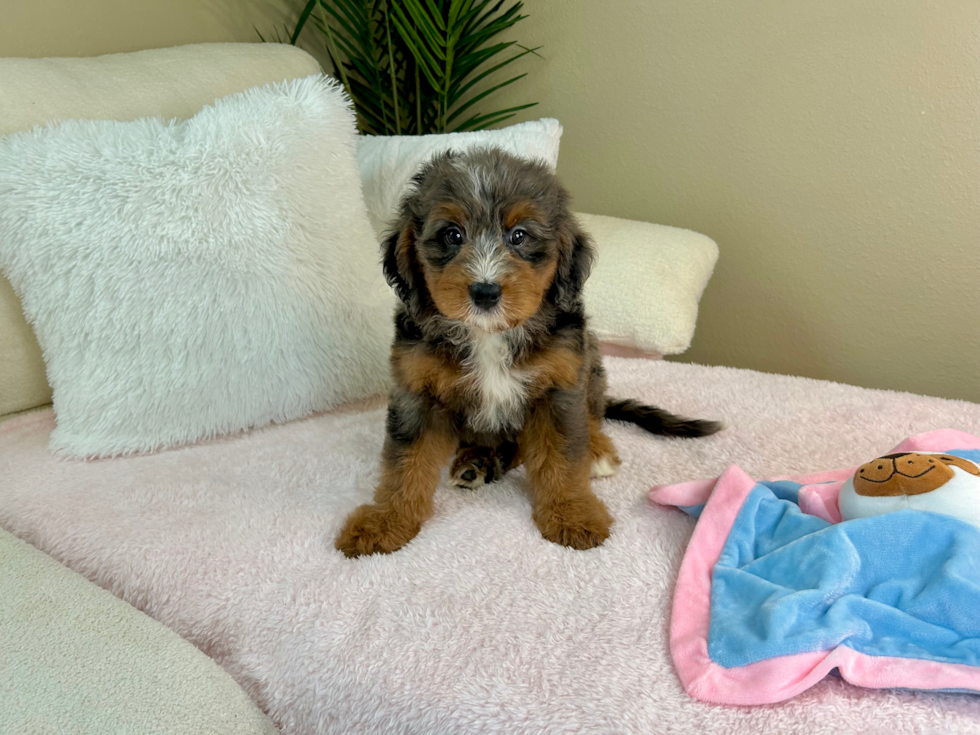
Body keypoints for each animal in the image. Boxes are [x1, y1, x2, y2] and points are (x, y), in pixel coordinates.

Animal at [336, 148, 720, 556]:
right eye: (452, 235)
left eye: (519, 236)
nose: (485, 291)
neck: (489, 336)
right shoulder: (416, 393)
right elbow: (404, 463)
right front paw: (385, 521)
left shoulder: (559, 386)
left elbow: (562, 456)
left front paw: (572, 513)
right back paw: (479, 461)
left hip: (590, 363)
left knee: (590, 416)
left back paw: (594, 451)